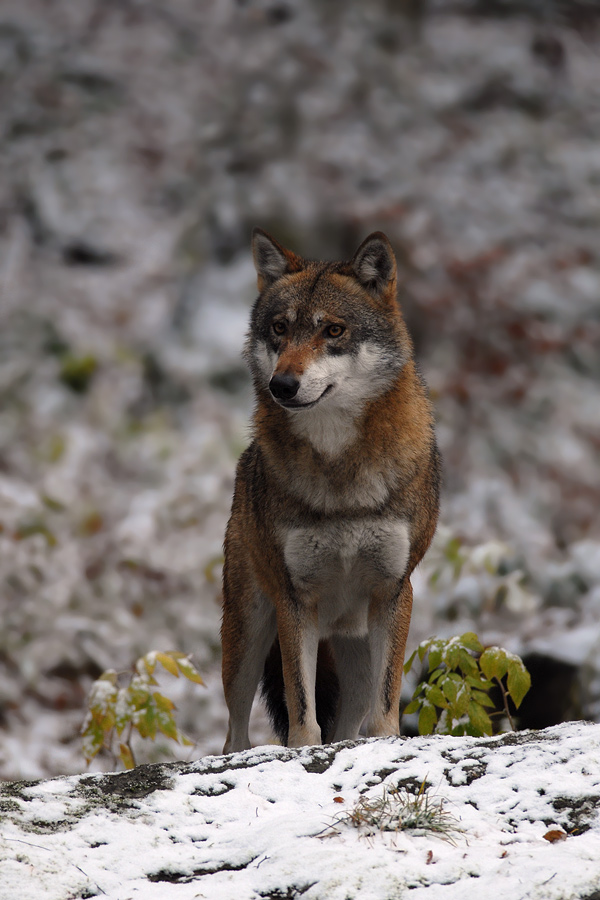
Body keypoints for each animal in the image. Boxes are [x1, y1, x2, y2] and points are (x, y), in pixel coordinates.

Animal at [221, 227, 440, 752]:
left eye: (334, 331)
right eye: (280, 328)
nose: (282, 384)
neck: (340, 472)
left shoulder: (393, 591)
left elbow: (385, 707)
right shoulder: (295, 599)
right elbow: (303, 709)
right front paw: (302, 750)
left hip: (355, 650)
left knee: (349, 722)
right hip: (248, 635)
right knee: (234, 734)